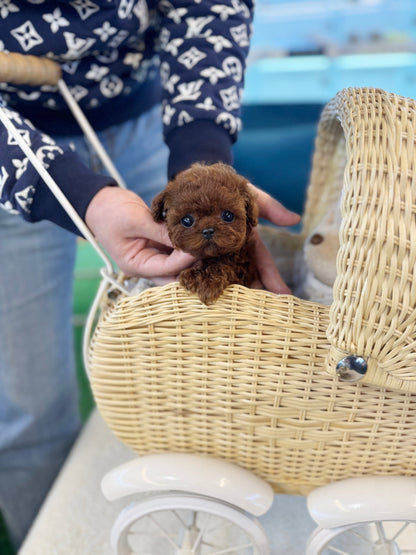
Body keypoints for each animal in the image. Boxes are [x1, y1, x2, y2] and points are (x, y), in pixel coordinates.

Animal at [153, 163, 256, 306]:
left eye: (228, 216)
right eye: (187, 220)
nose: (208, 231)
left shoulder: (243, 270)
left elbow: (221, 267)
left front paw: (208, 283)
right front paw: (194, 276)